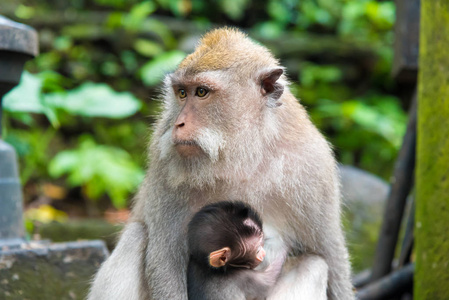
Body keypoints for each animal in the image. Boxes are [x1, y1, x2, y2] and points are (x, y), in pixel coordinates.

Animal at [88, 27, 354, 298]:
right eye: (181, 93)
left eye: (201, 92)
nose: (178, 123)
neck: (244, 155)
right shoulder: (164, 164)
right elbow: (165, 261)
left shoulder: (314, 169)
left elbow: (331, 258)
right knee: (137, 235)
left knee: (314, 263)